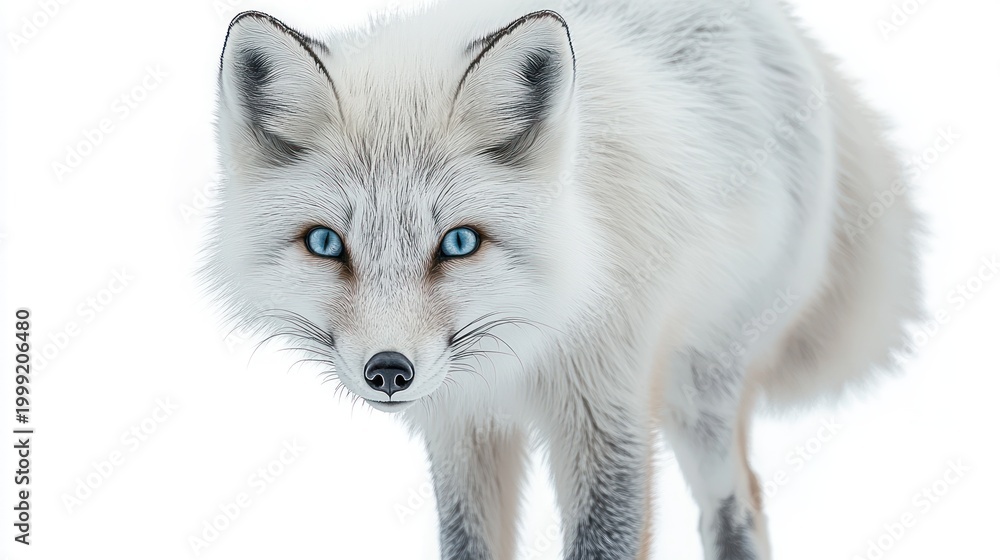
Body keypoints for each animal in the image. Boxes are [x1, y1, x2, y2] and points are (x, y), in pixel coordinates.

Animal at [203, 0, 923, 558]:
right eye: (327, 244)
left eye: (458, 242)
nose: (388, 371)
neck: (524, 344)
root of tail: (785, 31)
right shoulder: (462, 425)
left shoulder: (607, 407)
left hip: (700, 393)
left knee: (737, 508)